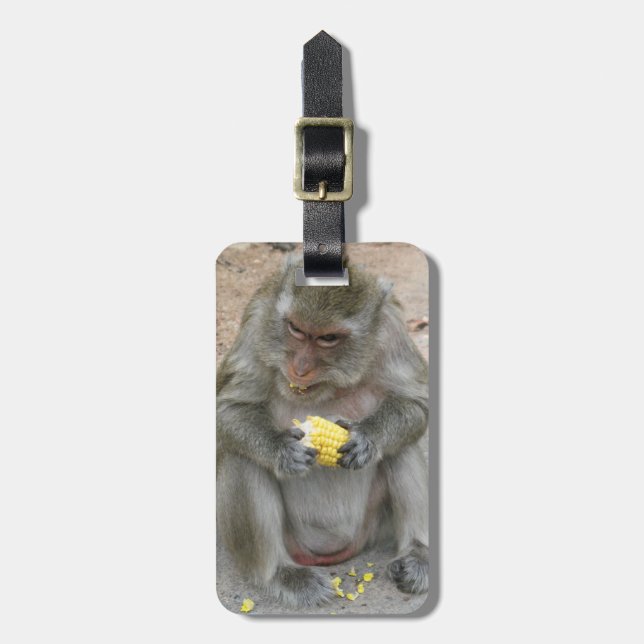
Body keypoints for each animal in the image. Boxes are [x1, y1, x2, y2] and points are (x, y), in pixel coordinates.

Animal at [216, 254, 429, 608]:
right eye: (296, 329)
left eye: (328, 339)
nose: (300, 368)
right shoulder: (258, 319)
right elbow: (228, 409)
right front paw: (281, 450)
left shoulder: (393, 328)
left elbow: (417, 403)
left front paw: (367, 438)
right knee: (240, 459)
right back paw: (280, 574)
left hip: (373, 526)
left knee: (404, 448)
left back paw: (418, 555)